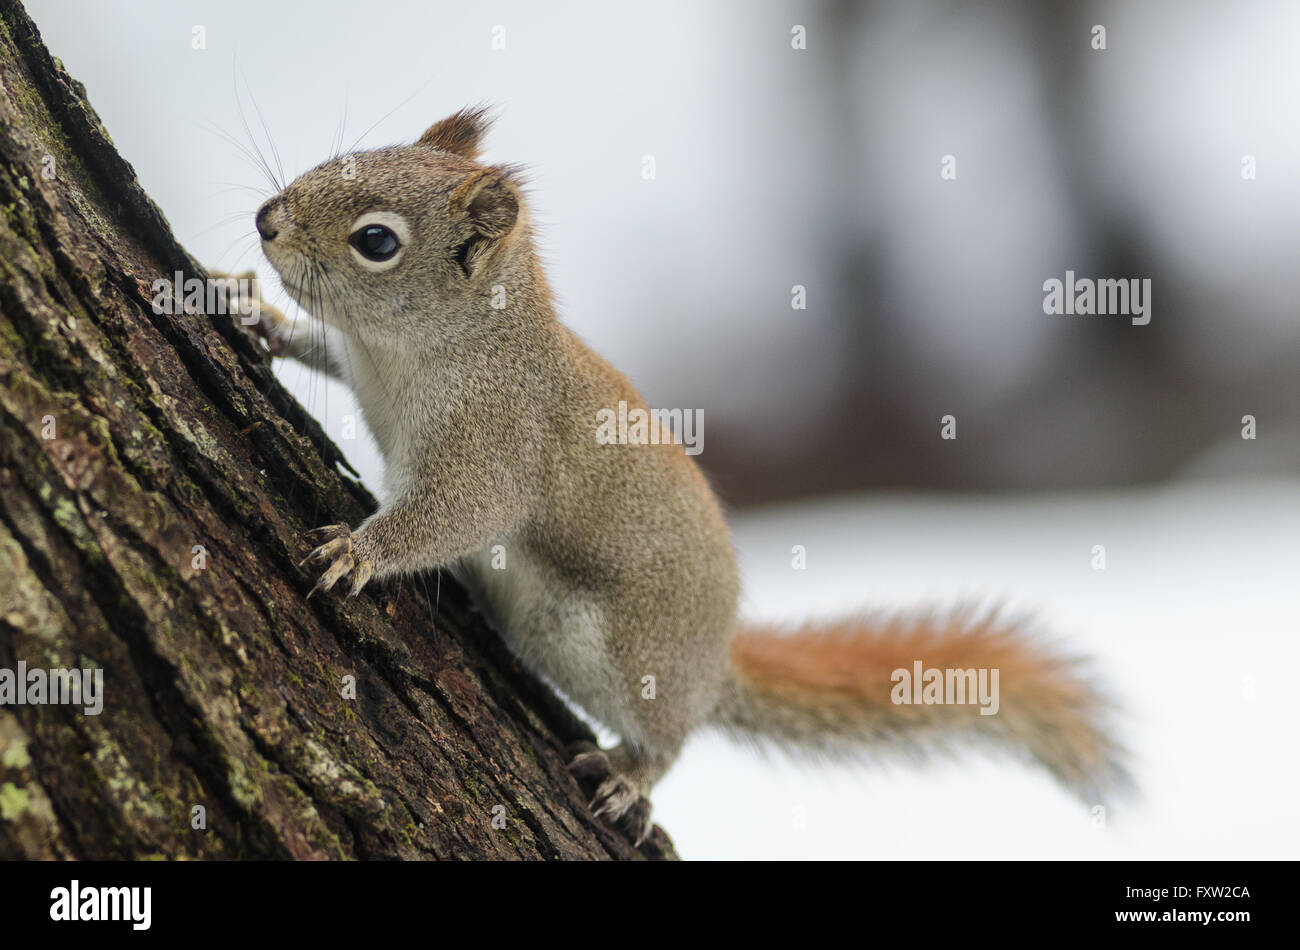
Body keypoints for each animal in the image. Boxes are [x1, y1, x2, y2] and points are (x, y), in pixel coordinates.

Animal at [229, 107, 1128, 845]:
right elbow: (321, 350)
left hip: (615, 651)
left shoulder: (495, 443)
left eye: (377, 241)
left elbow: (459, 516)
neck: (419, 351)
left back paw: (633, 779)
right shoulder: (364, 371)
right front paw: (258, 318)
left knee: (670, 735)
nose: (266, 221)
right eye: (346, 153)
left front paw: (360, 553)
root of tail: (715, 660)